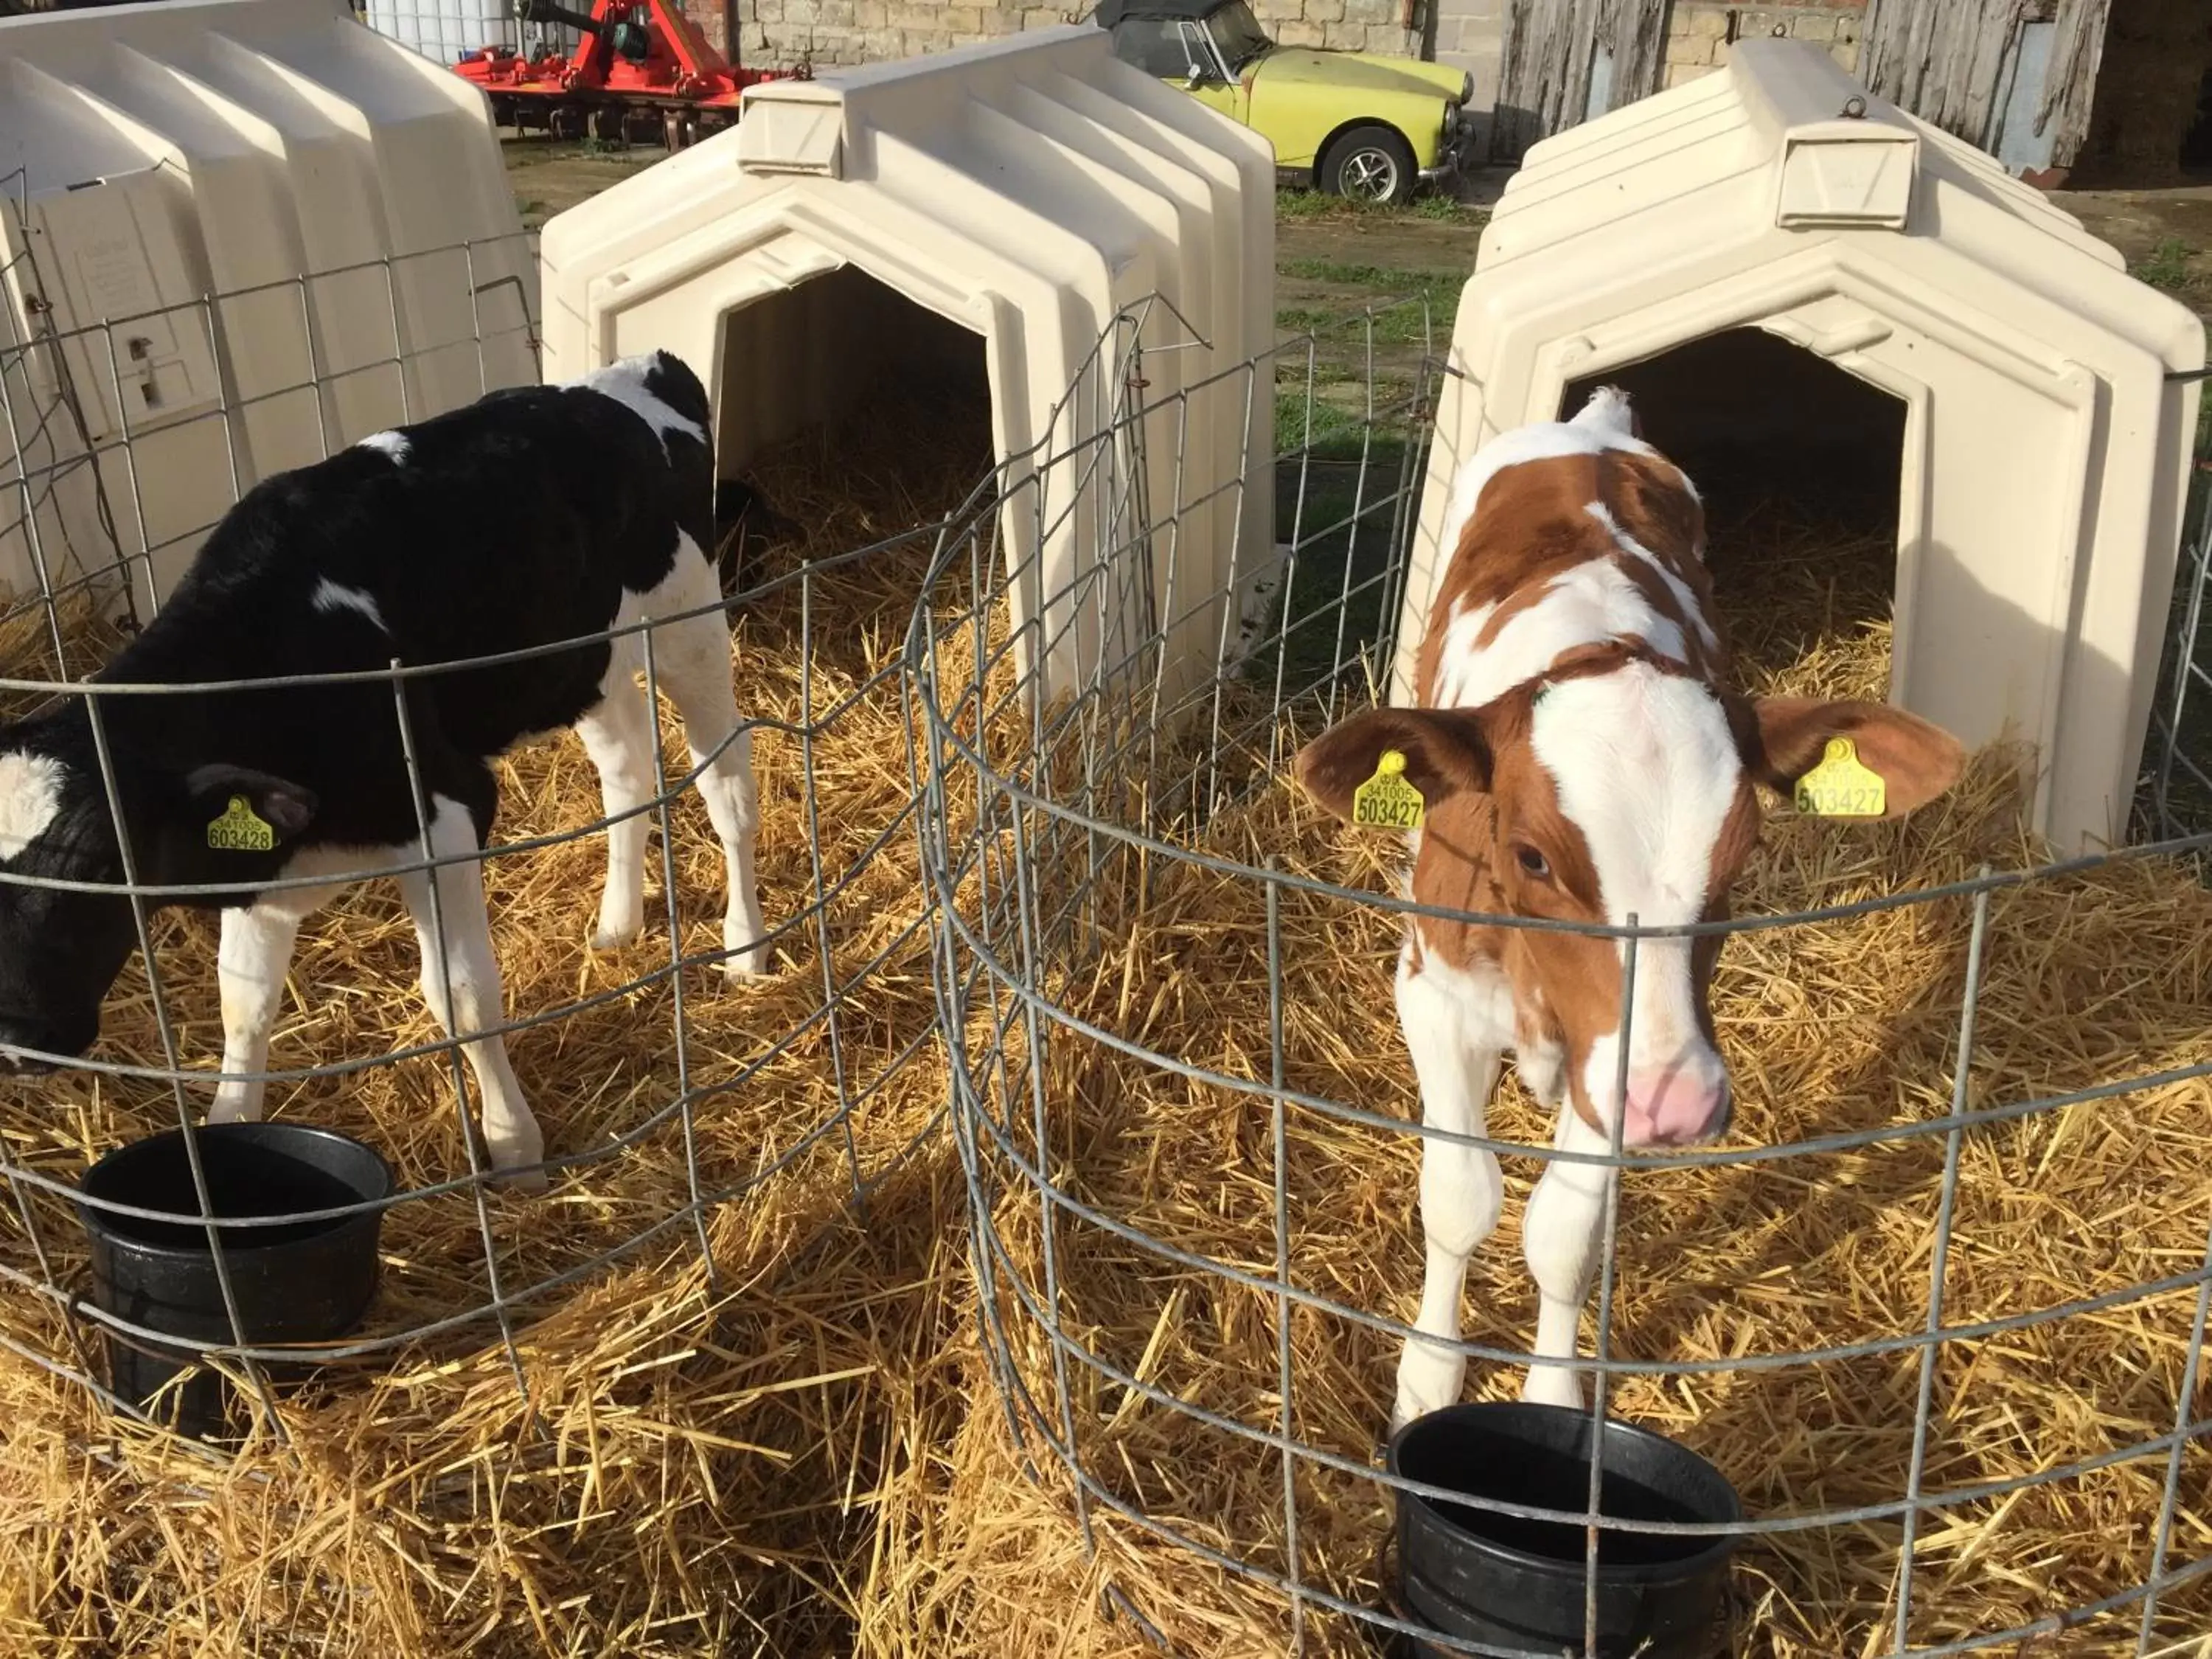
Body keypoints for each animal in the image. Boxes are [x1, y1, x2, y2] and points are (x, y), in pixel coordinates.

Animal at [0, 352, 770, 1186]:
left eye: (102, 866)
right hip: (580, 666)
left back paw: (746, 948)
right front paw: (228, 1133)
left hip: (691, 622)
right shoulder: (262, 857)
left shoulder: (448, 811)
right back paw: (617, 927)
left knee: (727, 787)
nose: (15, 1038)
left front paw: (514, 1151)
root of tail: (634, 370)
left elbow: (462, 998)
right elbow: (243, 1006)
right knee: (628, 768)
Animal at [1301, 389, 1964, 1433]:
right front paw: (1427, 1379)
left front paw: (1553, 1400)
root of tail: (1592, 430)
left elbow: (1564, 1231)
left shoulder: (1613, 1052)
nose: (1677, 1105)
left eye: (1743, 852)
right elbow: (1459, 1197)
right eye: (1532, 855)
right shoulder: (1433, 995)